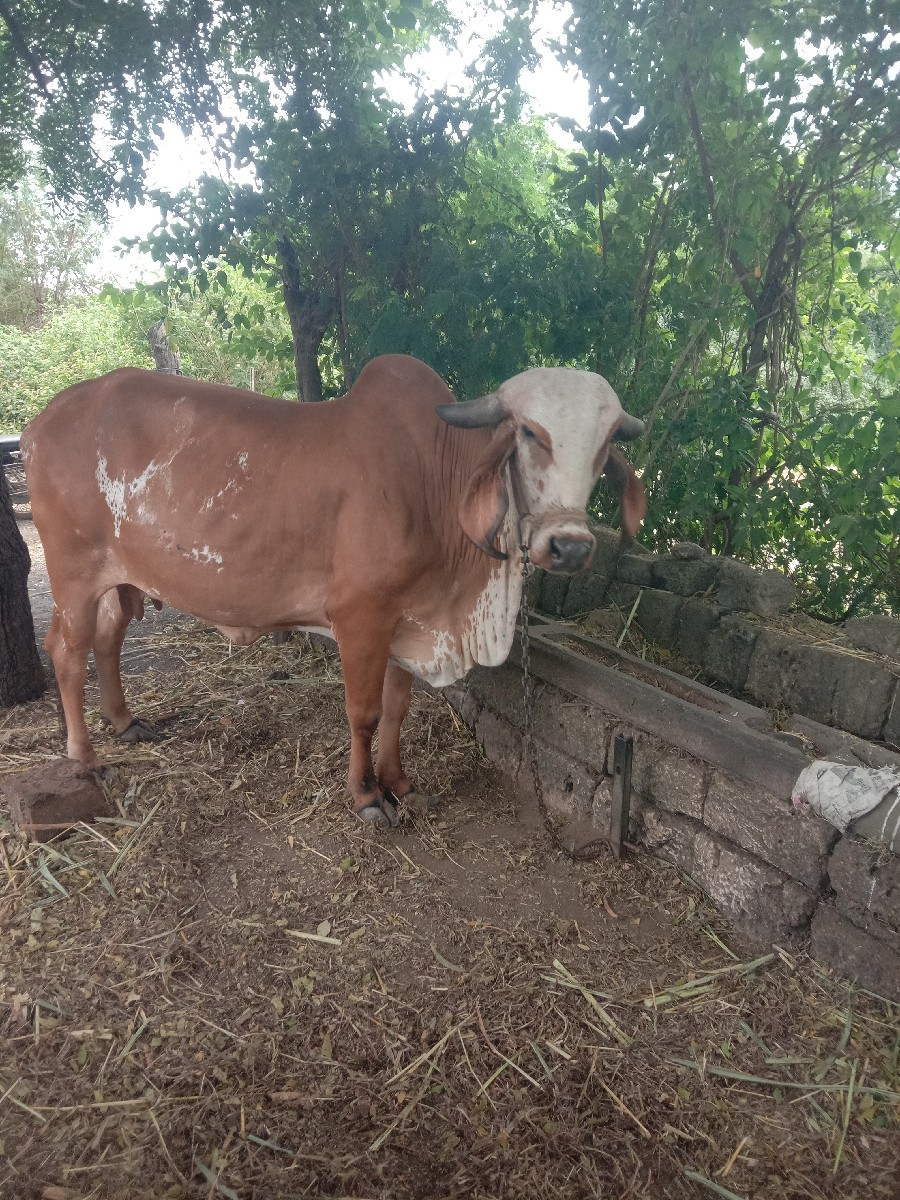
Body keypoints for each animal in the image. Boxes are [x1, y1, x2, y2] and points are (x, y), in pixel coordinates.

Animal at [21, 354, 646, 826]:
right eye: (530, 432)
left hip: (118, 578)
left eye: (606, 442)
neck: (435, 483)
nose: (570, 547)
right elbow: (364, 712)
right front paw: (368, 795)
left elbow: (397, 710)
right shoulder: (360, 615)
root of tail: (41, 420)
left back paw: (125, 723)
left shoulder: (407, 620)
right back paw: (84, 758)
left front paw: (400, 782)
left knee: (108, 640)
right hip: (75, 575)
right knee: (67, 653)